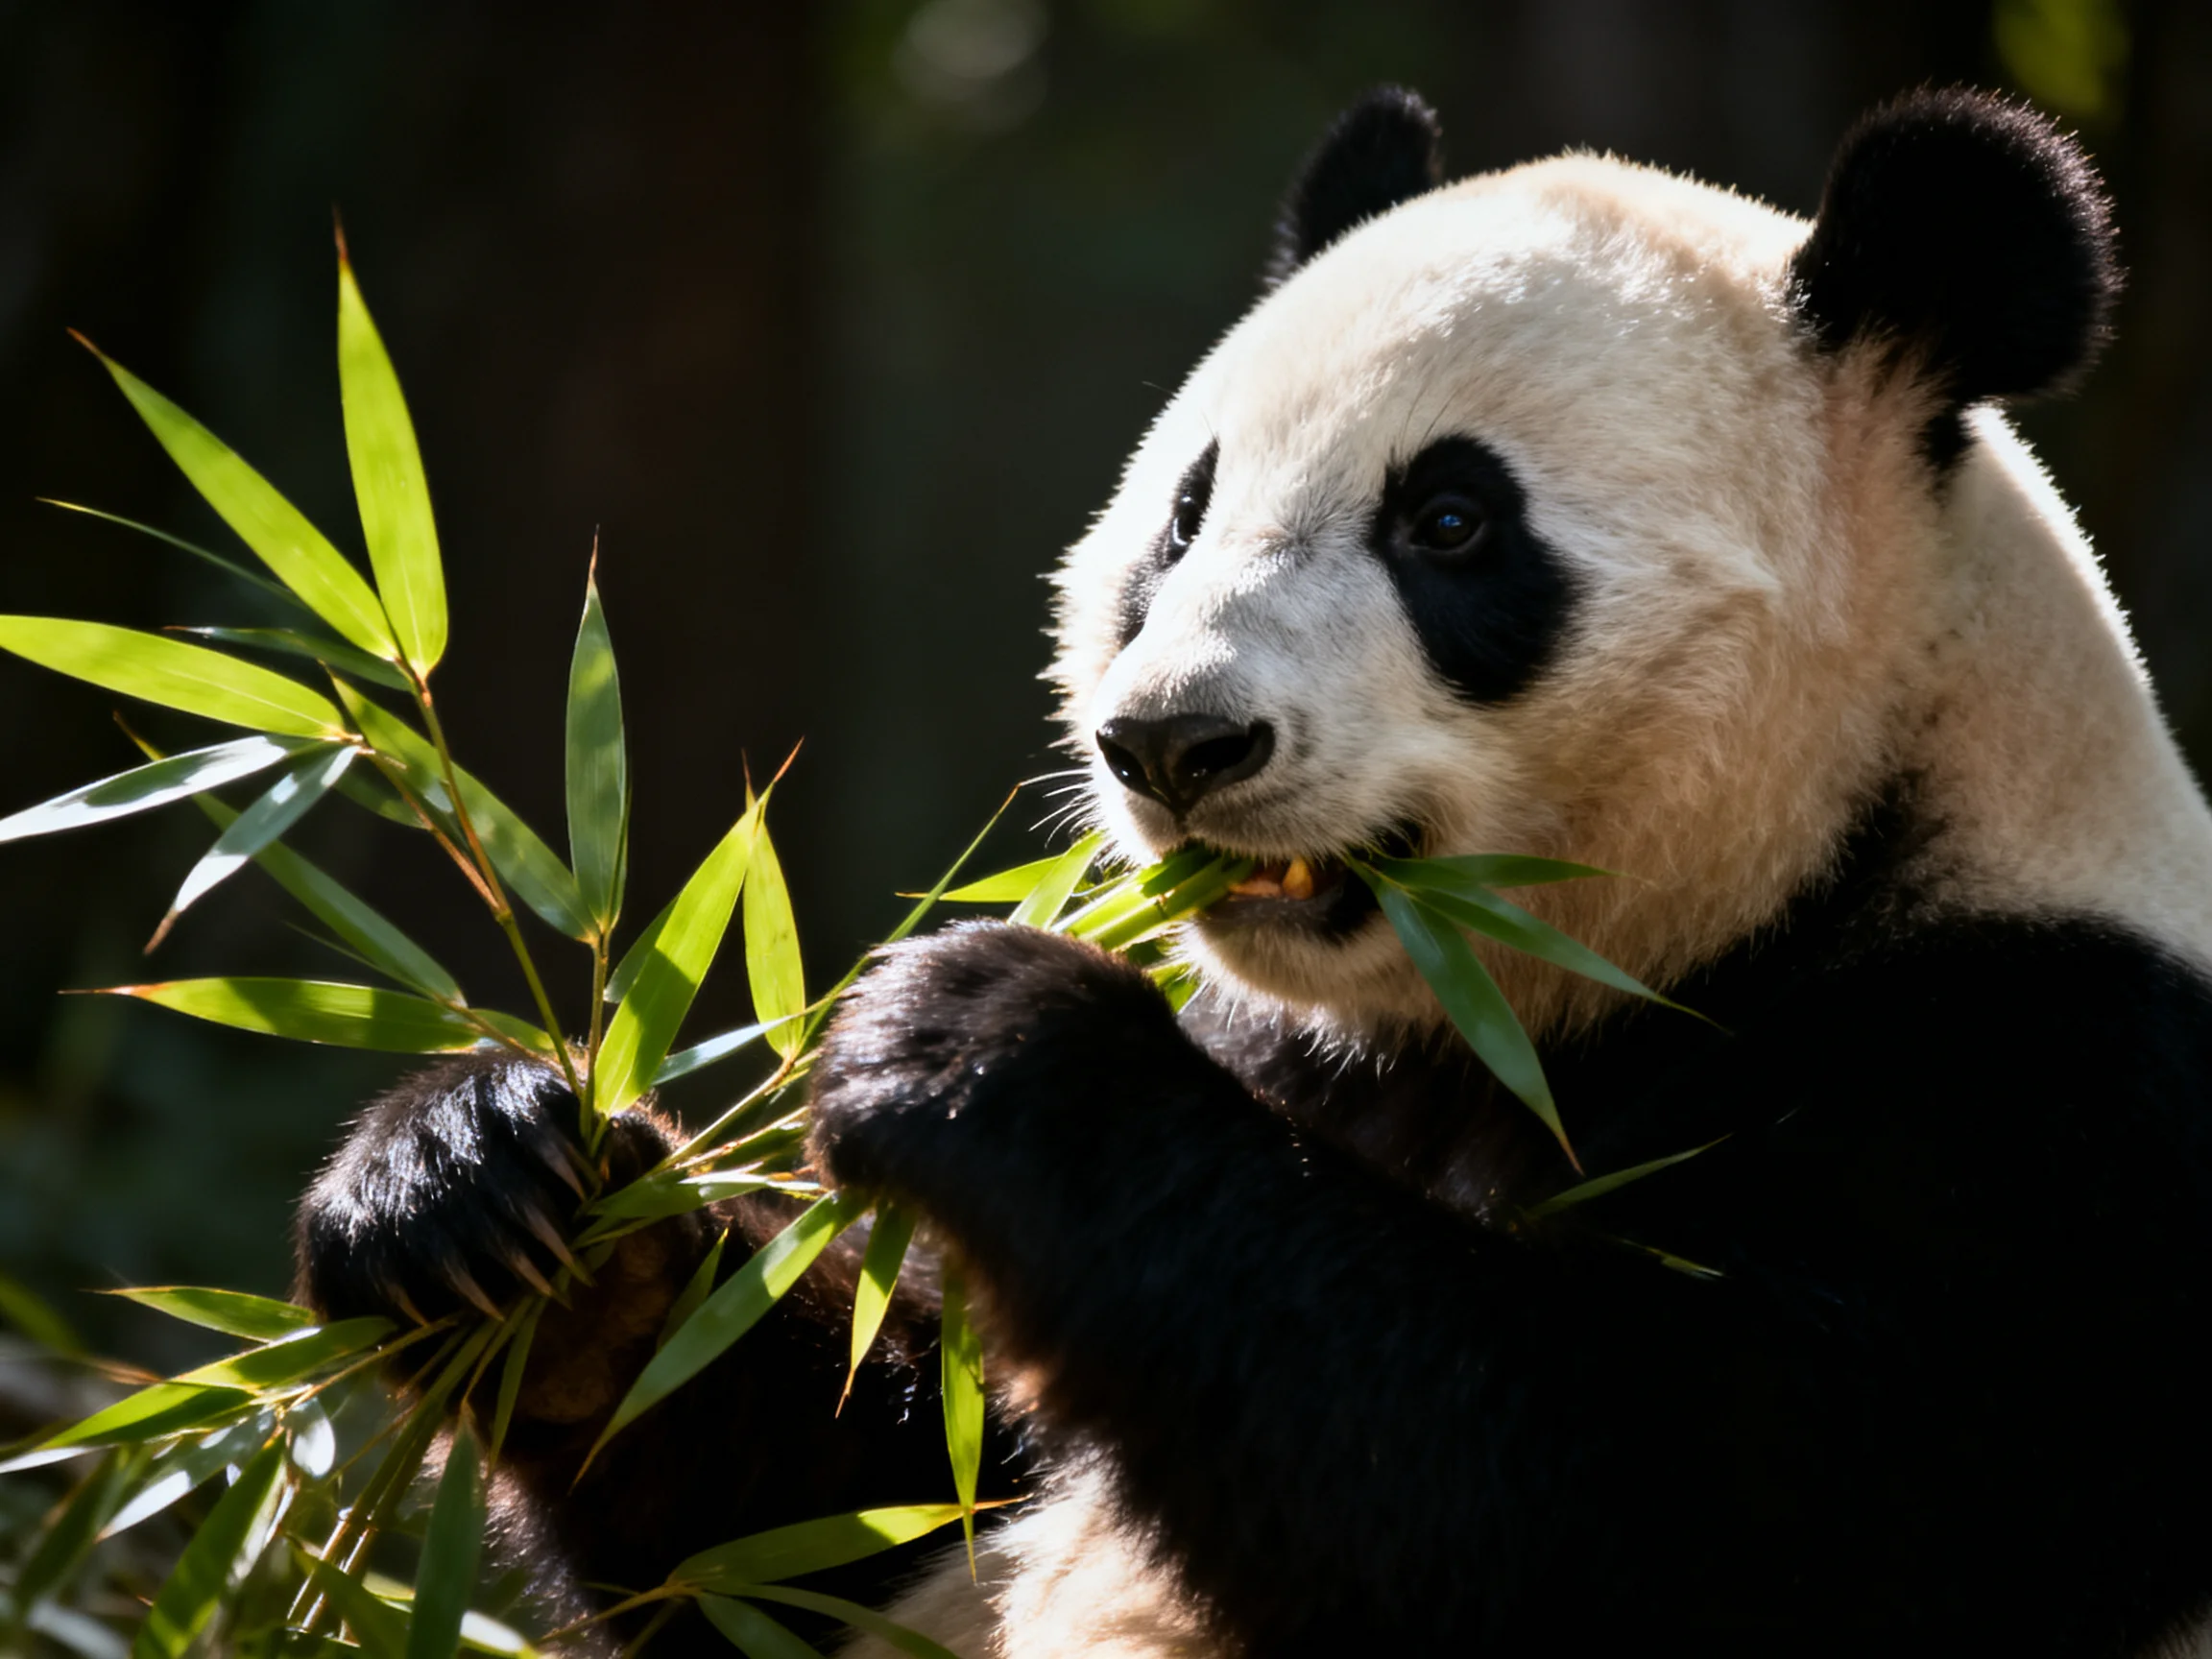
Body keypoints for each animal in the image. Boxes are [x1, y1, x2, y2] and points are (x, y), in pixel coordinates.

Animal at [298, 88, 2212, 1658]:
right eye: (1183, 513)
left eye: (1451, 522)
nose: (1173, 743)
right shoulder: (1279, 1066)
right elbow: (836, 1506)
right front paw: (498, 1210)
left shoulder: (2044, 1114)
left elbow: (1651, 1519)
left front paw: (971, 1035)